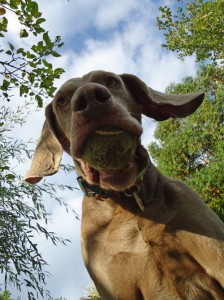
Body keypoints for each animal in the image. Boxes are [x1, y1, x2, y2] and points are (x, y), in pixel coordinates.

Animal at [25, 71, 223, 300]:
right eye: (61, 102)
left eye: (111, 81)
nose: (90, 98)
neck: (128, 202)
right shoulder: (115, 285)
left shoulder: (214, 252)